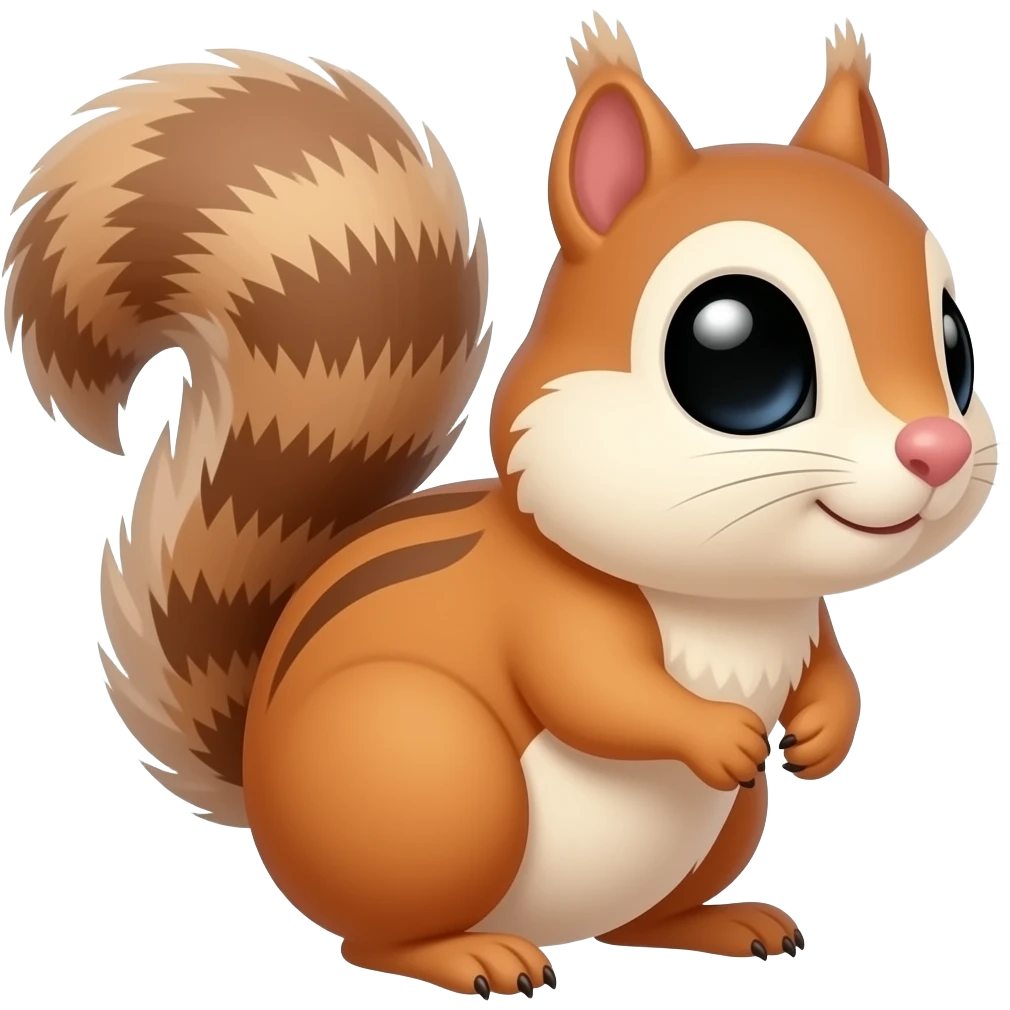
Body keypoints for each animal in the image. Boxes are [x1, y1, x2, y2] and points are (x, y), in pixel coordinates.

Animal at [3, 13, 997, 998]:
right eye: (736, 351)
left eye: (956, 343)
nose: (938, 450)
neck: (727, 601)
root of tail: (260, 790)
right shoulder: (550, 612)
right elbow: (598, 693)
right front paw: (715, 731)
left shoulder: (804, 616)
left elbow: (826, 667)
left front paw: (827, 728)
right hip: (430, 770)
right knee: (375, 936)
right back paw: (470, 955)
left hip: (715, 832)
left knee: (639, 922)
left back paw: (719, 921)